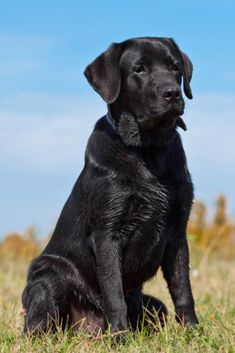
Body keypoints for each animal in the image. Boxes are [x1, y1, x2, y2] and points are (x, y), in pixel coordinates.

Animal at [22, 37, 198, 334]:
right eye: (139, 69)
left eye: (175, 68)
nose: (173, 93)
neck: (148, 149)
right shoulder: (108, 231)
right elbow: (113, 292)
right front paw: (120, 336)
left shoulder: (177, 231)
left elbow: (183, 288)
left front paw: (193, 331)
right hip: (48, 275)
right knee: (35, 327)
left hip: (154, 305)